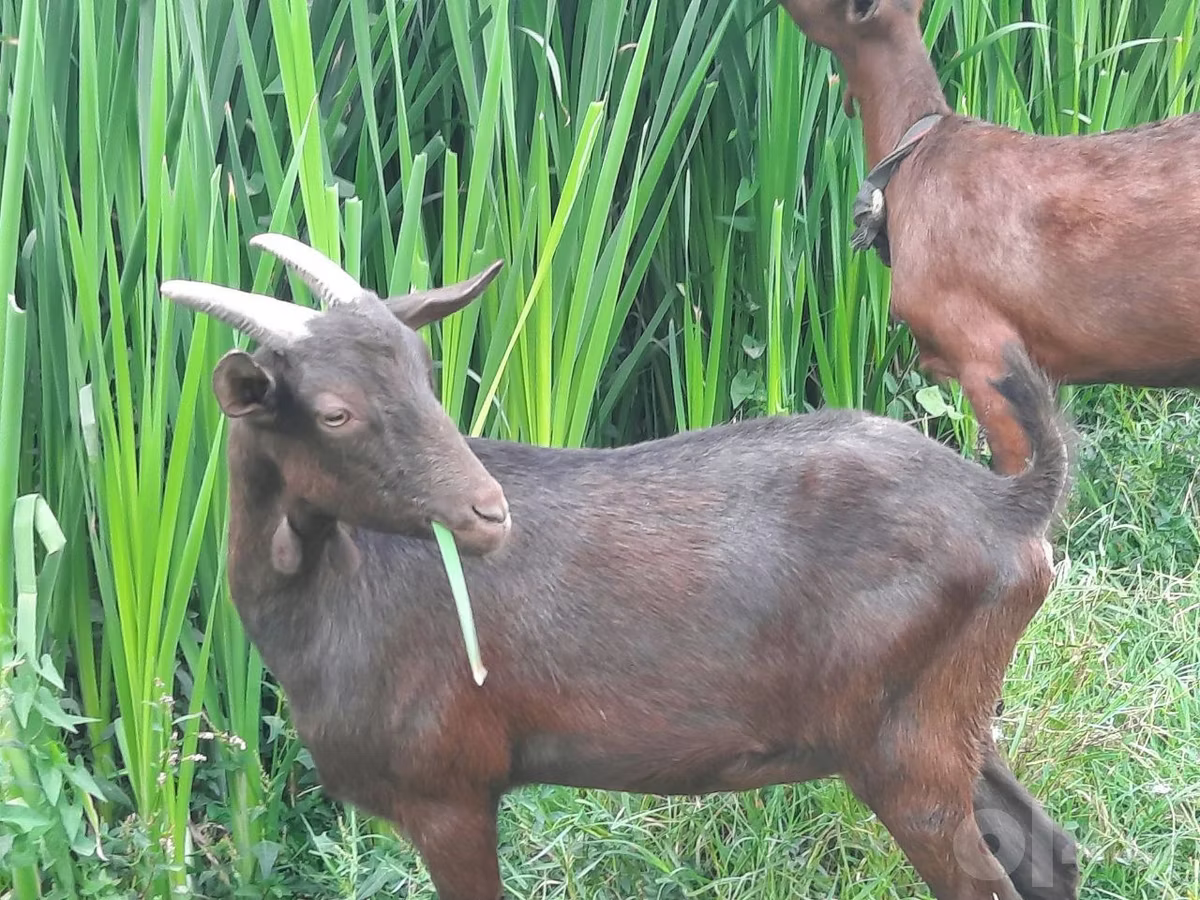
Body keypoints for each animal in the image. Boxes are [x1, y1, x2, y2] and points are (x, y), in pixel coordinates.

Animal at [160, 233, 1078, 900]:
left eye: (425, 374)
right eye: (334, 412)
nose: (486, 511)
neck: (341, 601)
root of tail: (1009, 506)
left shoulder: (449, 790)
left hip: (905, 744)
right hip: (953, 715)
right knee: (1050, 852)